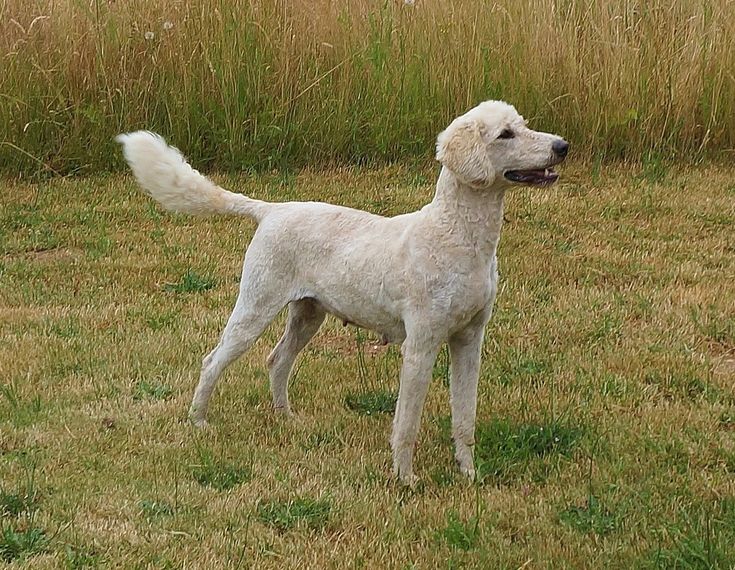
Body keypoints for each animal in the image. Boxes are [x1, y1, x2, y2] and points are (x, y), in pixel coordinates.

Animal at [119, 100, 568, 482]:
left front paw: (469, 474)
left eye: (524, 125)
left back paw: (286, 418)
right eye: (505, 134)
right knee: (213, 360)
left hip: (307, 314)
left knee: (277, 360)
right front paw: (405, 478)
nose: (562, 146)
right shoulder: (421, 346)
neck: (455, 237)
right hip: (256, 306)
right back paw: (199, 421)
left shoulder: (469, 340)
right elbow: (407, 422)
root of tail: (272, 210)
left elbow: (465, 416)